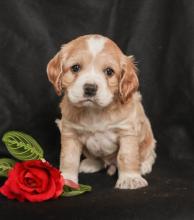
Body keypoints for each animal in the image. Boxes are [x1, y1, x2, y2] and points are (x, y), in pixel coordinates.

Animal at [47, 34, 156, 189]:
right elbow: (69, 158)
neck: (94, 111)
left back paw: (144, 166)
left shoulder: (127, 131)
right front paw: (67, 179)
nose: (90, 88)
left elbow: (127, 155)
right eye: (75, 68)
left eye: (109, 71)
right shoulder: (70, 132)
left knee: (149, 154)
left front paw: (130, 179)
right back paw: (90, 164)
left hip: (148, 139)